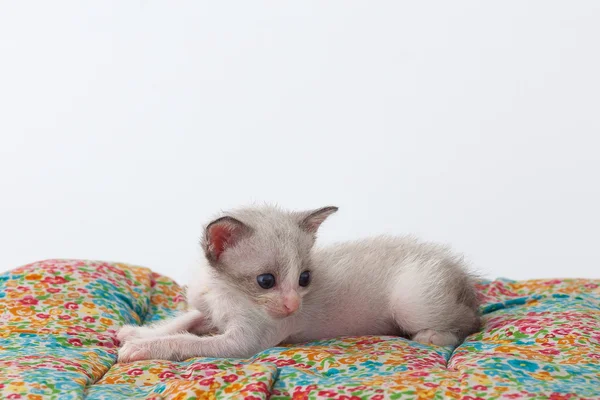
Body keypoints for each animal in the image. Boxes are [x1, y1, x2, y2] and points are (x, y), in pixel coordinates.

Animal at [118, 206, 478, 362]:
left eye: (304, 278)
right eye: (266, 281)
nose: (293, 305)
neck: (224, 289)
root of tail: (458, 270)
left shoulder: (246, 341)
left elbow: (189, 341)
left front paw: (143, 348)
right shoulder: (206, 309)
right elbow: (185, 320)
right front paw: (137, 333)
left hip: (411, 303)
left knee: (472, 322)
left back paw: (433, 336)